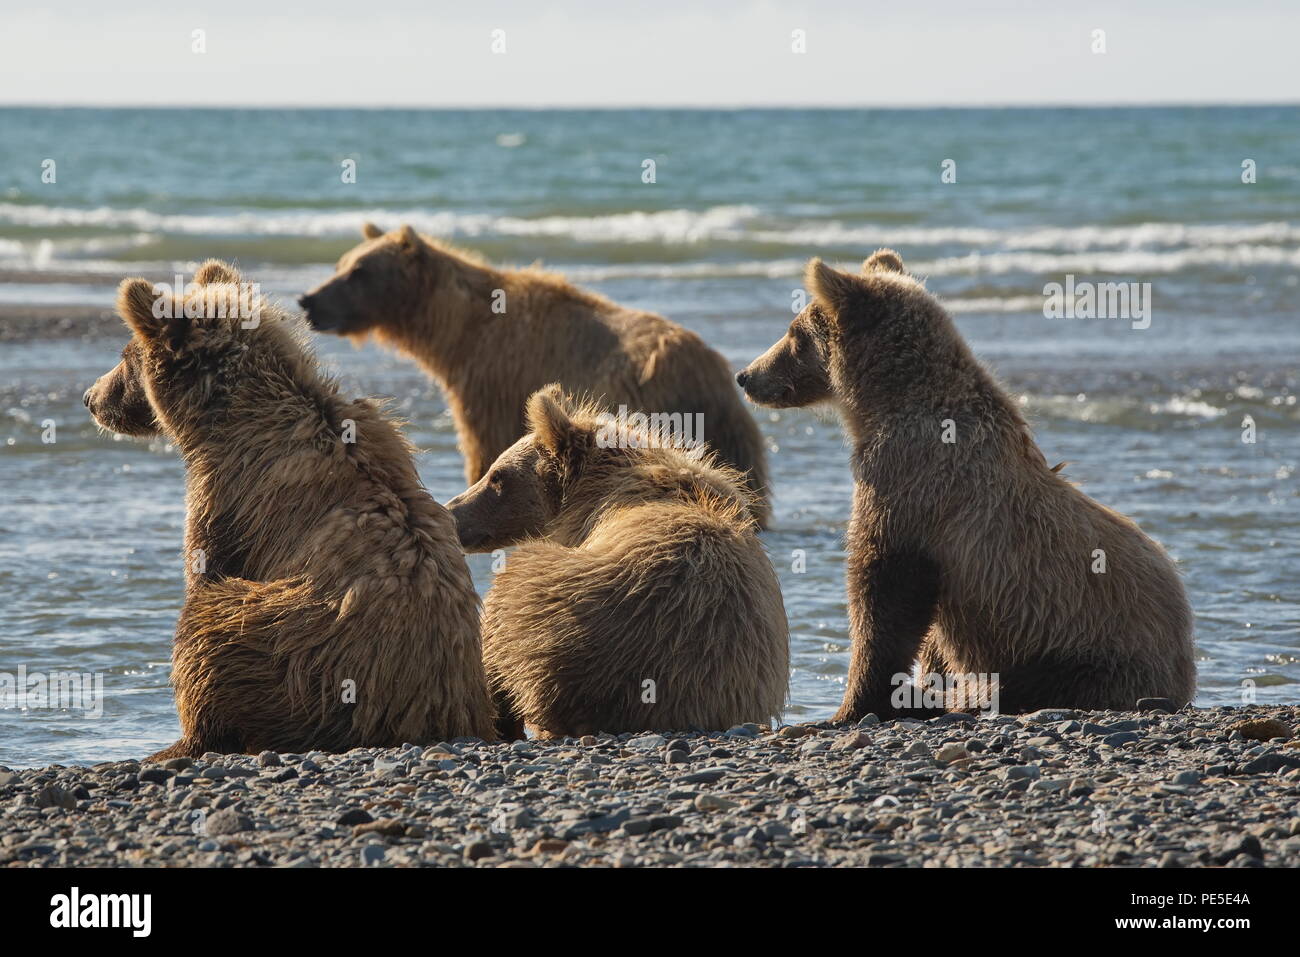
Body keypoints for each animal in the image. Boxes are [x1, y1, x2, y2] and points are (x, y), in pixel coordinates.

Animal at [82, 260, 496, 754]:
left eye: (126, 355)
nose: (91, 398)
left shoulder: (229, 498)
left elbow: (205, 568)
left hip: (295, 656)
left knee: (208, 628)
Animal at [299, 221, 764, 527]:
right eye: (342, 263)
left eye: (358, 271)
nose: (309, 300)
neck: (455, 333)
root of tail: (710, 370)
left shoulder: (489, 381)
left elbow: (482, 447)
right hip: (731, 432)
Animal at [738, 250, 1190, 722]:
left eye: (795, 333)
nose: (746, 375)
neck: (884, 409)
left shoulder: (914, 487)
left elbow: (883, 591)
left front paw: (852, 705)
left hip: (1082, 647)